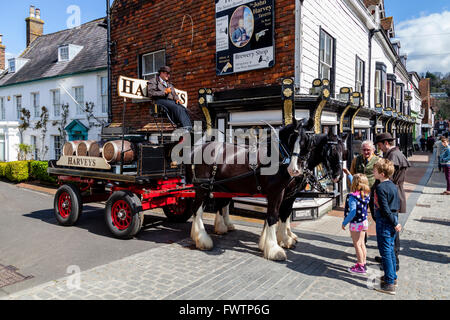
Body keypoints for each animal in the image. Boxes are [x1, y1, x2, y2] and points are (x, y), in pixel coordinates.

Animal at [184, 119, 312, 262]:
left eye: (307, 140)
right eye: (291, 139)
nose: (294, 169)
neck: (278, 157)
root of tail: (196, 149)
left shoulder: (286, 195)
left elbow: (282, 215)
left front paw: (282, 240)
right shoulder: (276, 193)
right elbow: (273, 217)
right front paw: (274, 249)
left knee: (216, 205)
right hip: (203, 188)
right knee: (197, 210)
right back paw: (202, 239)